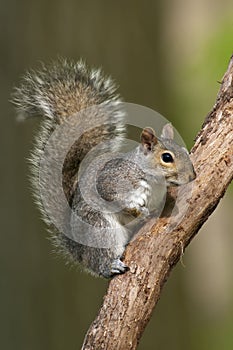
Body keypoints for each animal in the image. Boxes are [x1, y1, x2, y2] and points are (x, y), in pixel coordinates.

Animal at [11, 59, 196, 278]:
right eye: (167, 157)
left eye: (185, 151)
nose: (192, 176)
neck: (151, 179)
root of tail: (78, 250)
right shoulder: (112, 181)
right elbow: (116, 198)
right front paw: (138, 210)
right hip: (100, 229)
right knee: (101, 261)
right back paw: (111, 265)